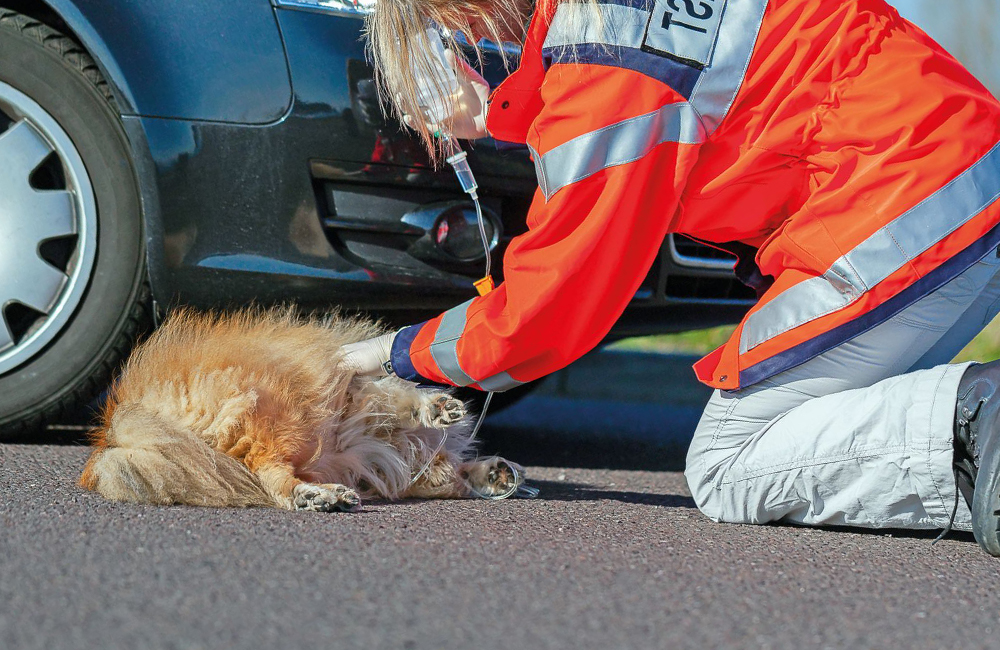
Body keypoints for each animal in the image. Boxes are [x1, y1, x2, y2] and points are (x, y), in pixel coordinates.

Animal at [80, 308, 524, 512]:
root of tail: (117, 425)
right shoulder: (355, 394)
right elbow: (397, 396)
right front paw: (435, 407)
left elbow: (449, 470)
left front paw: (492, 473)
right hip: (276, 418)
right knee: (272, 477)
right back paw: (316, 495)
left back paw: (321, 494)